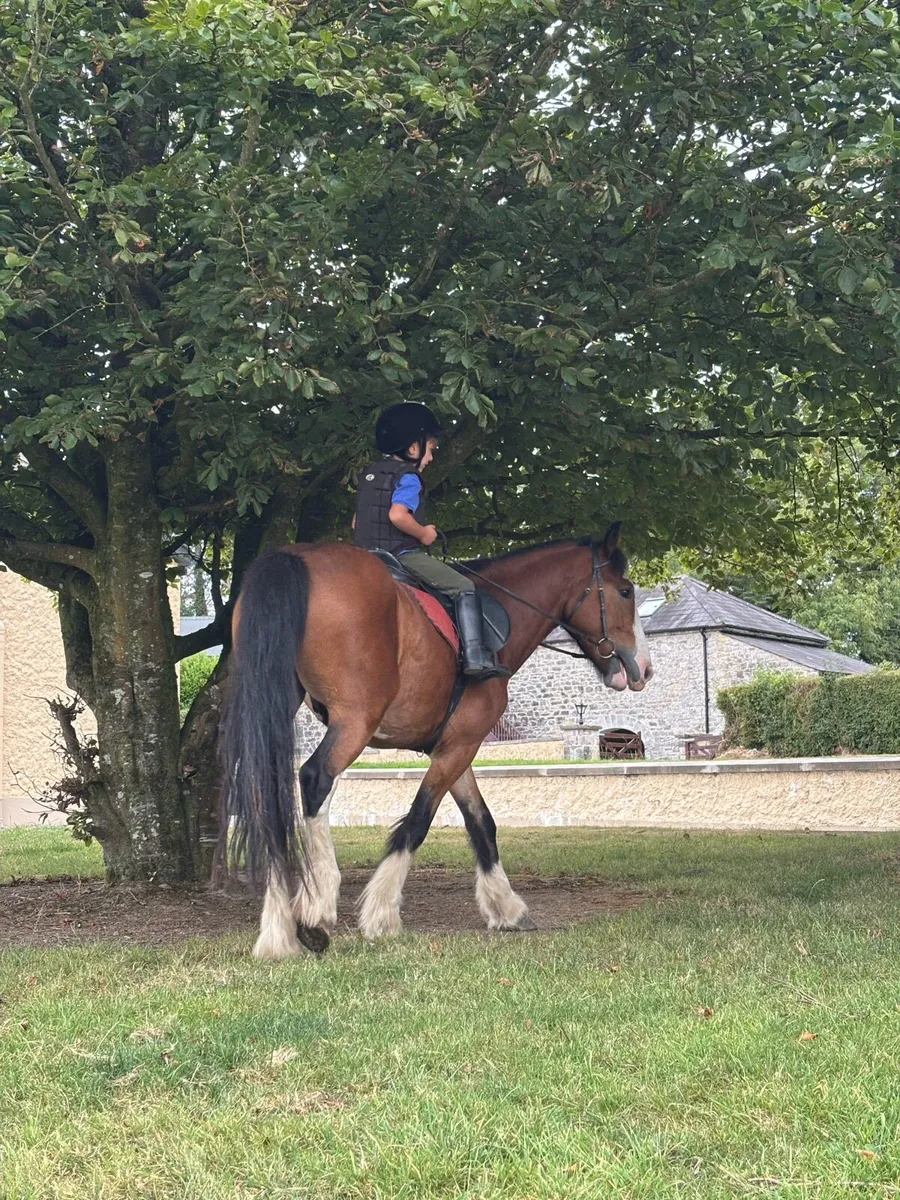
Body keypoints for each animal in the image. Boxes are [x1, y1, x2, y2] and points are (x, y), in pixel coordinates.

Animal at [220, 524, 652, 959]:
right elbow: (418, 821)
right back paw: (316, 909)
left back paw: (278, 931)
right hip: (355, 722)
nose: (644, 670)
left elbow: (482, 822)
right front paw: (382, 913)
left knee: (266, 796)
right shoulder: (459, 747)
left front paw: (506, 907)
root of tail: (296, 559)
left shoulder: (457, 747)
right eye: (625, 591)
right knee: (314, 779)